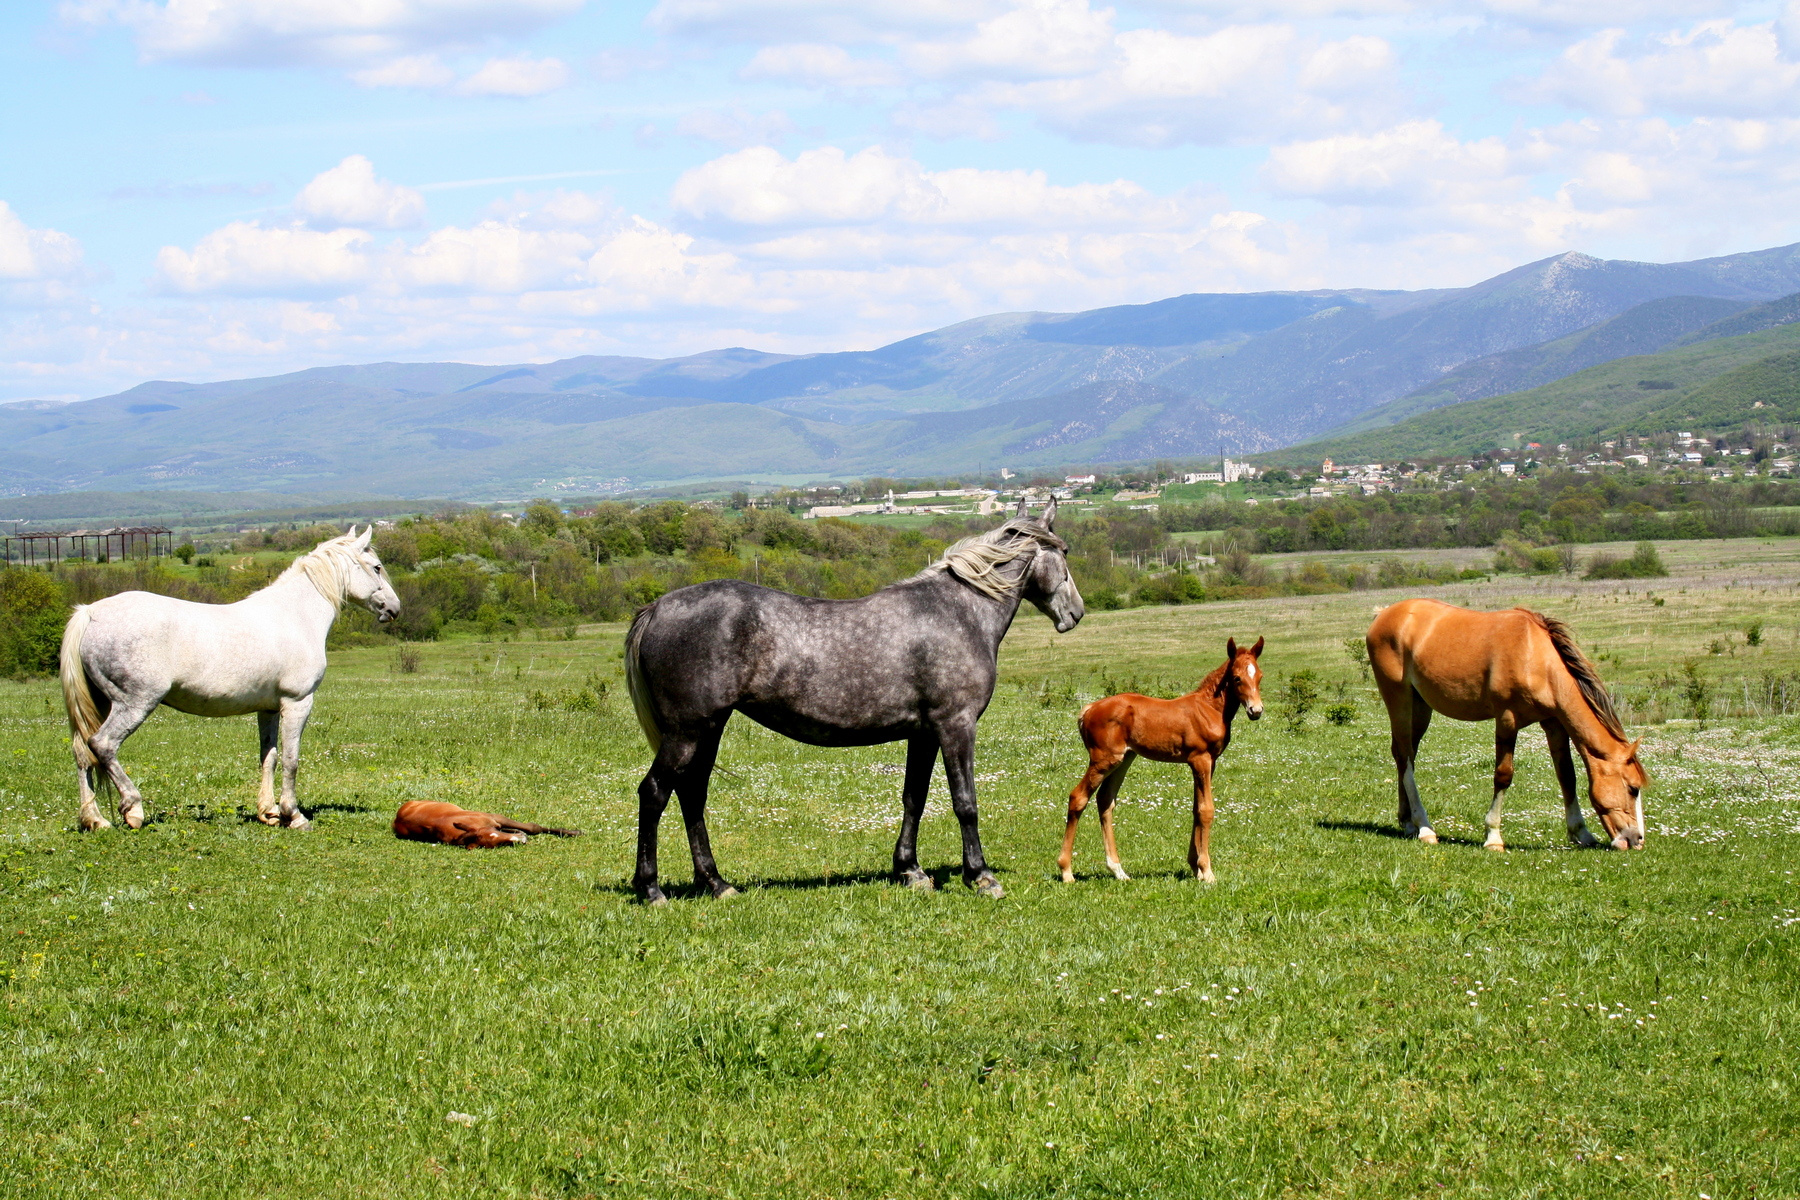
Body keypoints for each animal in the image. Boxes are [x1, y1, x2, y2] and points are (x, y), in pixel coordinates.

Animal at [59, 527, 400, 832]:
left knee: (82, 752)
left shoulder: (269, 708)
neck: (295, 616)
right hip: (134, 703)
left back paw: (95, 820)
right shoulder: (298, 702)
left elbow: (268, 757)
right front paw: (293, 815)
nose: (394, 609)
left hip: (101, 704)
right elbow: (291, 759)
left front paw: (269, 812)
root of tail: (90, 612)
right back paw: (133, 810)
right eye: (376, 567)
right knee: (103, 745)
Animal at [393, 800, 582, 848]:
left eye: (498, 837)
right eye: (499, 844)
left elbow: (532, 827)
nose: (520, 841)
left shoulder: (494, 817)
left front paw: (574, 832)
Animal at [624, 500, 1085, 905]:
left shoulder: (924, 733)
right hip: (687, 731)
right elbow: (965, 802)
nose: (1075, 614)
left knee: (692, 795)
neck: (959, 613)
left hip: (708, 729)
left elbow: (914, 797)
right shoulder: (956, 724)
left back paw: (716, 883)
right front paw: (981, 876)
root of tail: (658, 607)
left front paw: (910, 871)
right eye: (1064, 551)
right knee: (655, 793)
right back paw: (651, 889)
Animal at [1059, 636, 1264, 884]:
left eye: (1260, 676)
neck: (1209, 708)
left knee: (1105, 800)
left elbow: (1196, 808)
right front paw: (1207, 871)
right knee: (1078, 797)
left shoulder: (1209, 762)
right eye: (1237, 678)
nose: (1256, 710)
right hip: (1103, 760)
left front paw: (1195, 867)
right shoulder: (1200, 759)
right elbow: (1206, 810)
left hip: (1124, 759)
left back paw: (1118, 871)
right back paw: (1066, 871)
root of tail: (1088, 709)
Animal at [1366, 599, 1648, 851]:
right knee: (1405, 756)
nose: (1637, 840)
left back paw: (1408, 823)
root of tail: (1384, 614)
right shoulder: (1506, 720)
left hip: (1421, 706)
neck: (1536, 657)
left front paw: (1581, 833)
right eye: (1633, 789)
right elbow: (1503, 775)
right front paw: (1493, 836)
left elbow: (1567, 776)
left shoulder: (1554, 723)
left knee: (1405, 756)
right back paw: (1424, 828)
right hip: (1398, 698)